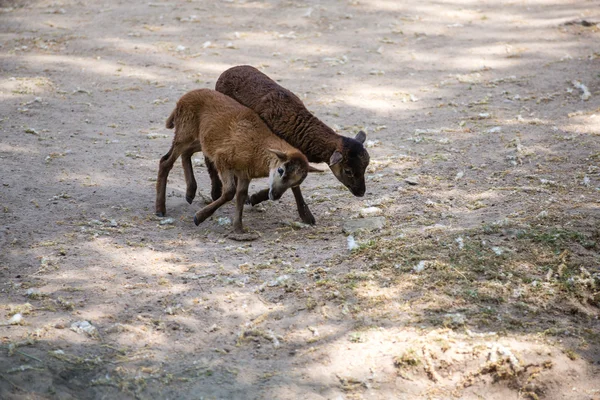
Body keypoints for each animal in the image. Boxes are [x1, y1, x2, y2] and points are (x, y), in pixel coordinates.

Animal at [155, 89, 318, 233]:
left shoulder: (244, 174)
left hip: (202, 140)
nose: (276, 195)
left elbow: (240, 196)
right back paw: (160, 209)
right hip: (185, 132)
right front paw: (199, 218)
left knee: (185, 153)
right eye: (280, 170)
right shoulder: (222, 159)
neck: (258, 147)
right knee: (165, 162)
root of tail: (182, 99)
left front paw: (238, 228)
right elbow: (229, 192)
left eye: (297, 182)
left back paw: (190, 192)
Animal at [206, 64, 370, 223]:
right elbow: (293, 185)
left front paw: (255, 197)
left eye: (365, 167)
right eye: (348, 171)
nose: (361, 192)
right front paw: (306, 215)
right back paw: (216, 192)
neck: (298, 130)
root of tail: (226, 71)